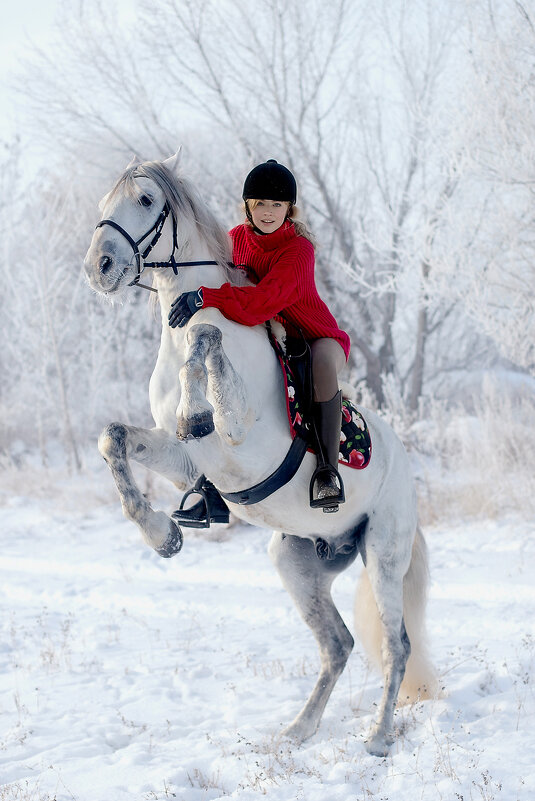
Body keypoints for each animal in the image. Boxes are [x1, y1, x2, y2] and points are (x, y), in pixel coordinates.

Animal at [82, 152, 436, 756]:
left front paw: (202, 404)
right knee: (338, 645)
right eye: (105, 200)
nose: (98, 266)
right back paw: (298, 730)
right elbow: (115, 438)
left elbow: (205, 341)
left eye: (146, 200)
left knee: (397, 645)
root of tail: (407, 474)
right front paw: (163, 536)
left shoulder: (242, 438)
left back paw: (378, 737)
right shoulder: (187, 461)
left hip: (383, 555)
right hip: (295, 560)